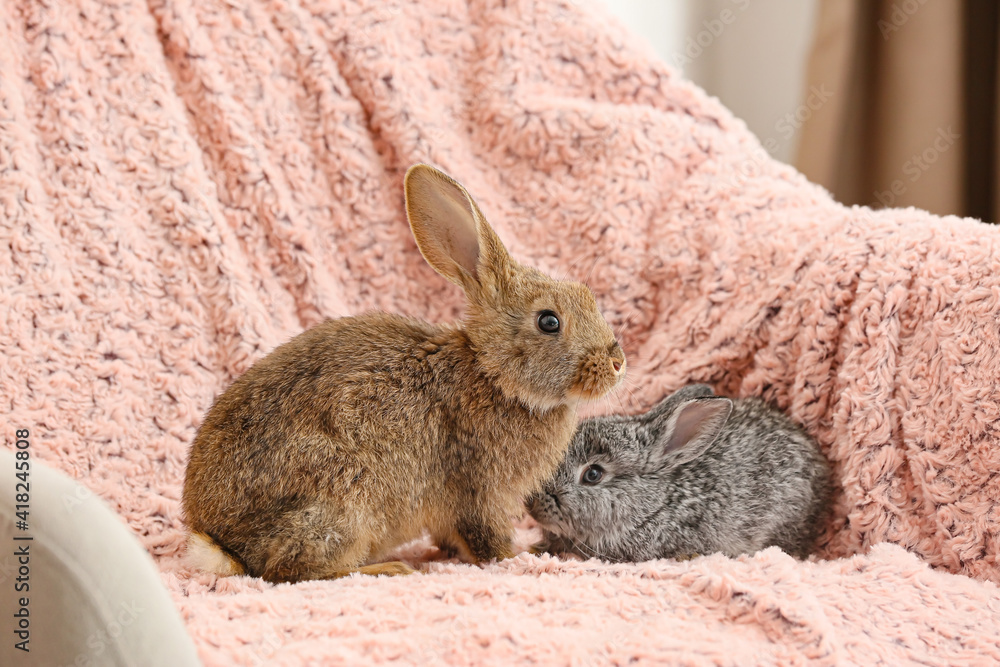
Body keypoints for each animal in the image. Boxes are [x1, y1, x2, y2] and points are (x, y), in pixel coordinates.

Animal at [180, 164, 624, 580]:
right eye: (549, 321)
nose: (617, 363)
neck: (492, 374)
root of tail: (223, 545)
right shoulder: (481, 489)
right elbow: (486, 536)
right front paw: (516, 556)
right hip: (342, 497)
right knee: (290, 569)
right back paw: (387, 569)